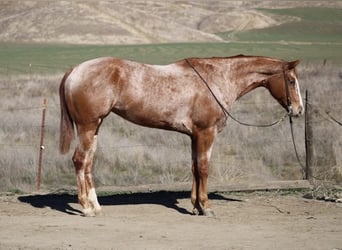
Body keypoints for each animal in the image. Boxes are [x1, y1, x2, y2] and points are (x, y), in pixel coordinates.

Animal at [60, 55, 304, 217]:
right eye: (291, 81)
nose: (299, 110)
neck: (215, 79)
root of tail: (75, 70)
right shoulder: (206, 133)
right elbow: (204, 168)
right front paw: (206, 206)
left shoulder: (195, 136)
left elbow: (195, 168)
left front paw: (196, 206)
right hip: (87, 126)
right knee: (79, 161)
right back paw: (85, 208)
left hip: (95, 128)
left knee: (88, 163)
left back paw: (95, 205)